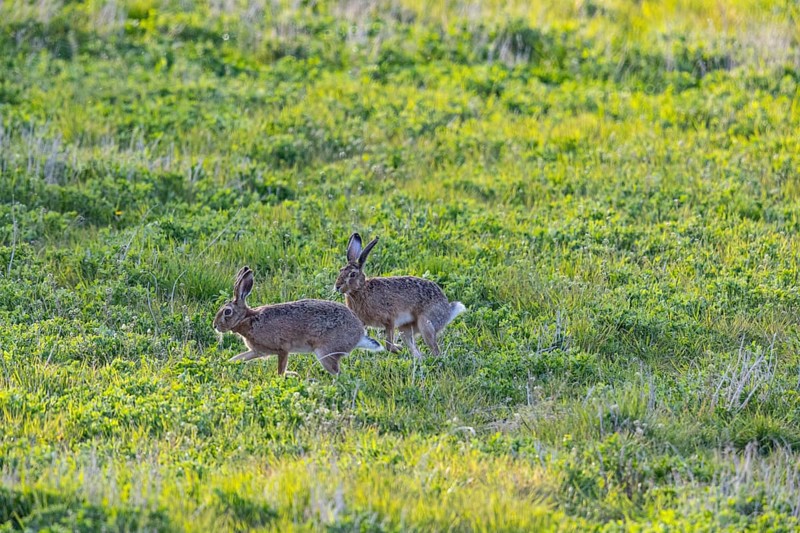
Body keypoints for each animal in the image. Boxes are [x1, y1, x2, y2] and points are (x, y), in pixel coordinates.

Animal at [214, 266, 383, 375]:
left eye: (227, 312)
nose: (215, 326)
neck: (249, 319)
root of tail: (359, 333)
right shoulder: (257, 351)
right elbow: (239, 358)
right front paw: (226, 363)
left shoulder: (282, 349)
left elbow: (280, 370)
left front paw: (286, 377)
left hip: (325, 352)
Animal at [334, 233, 466, 358]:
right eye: (340, 270)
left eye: (352, 274)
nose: (337, 286)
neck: (360, 290)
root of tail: (447, 311)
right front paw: (399, 348)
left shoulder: (390, 320)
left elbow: (388, 343)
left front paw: (397, 348)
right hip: (406, 328)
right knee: (413, 345)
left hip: (426, 324)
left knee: (435, 350)